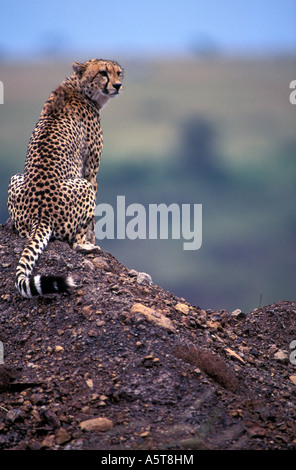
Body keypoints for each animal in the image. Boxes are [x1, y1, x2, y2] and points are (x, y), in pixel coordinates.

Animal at [7, 57, 122, 298]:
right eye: (103, 73)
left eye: (118, 73)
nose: (118, 86)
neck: (78, 87)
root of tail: (40, 215)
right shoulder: (90, 171)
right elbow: (92, 223)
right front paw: (92, 240)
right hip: (83, 186)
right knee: (75, 240)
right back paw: (85, 246)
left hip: (15, 178)